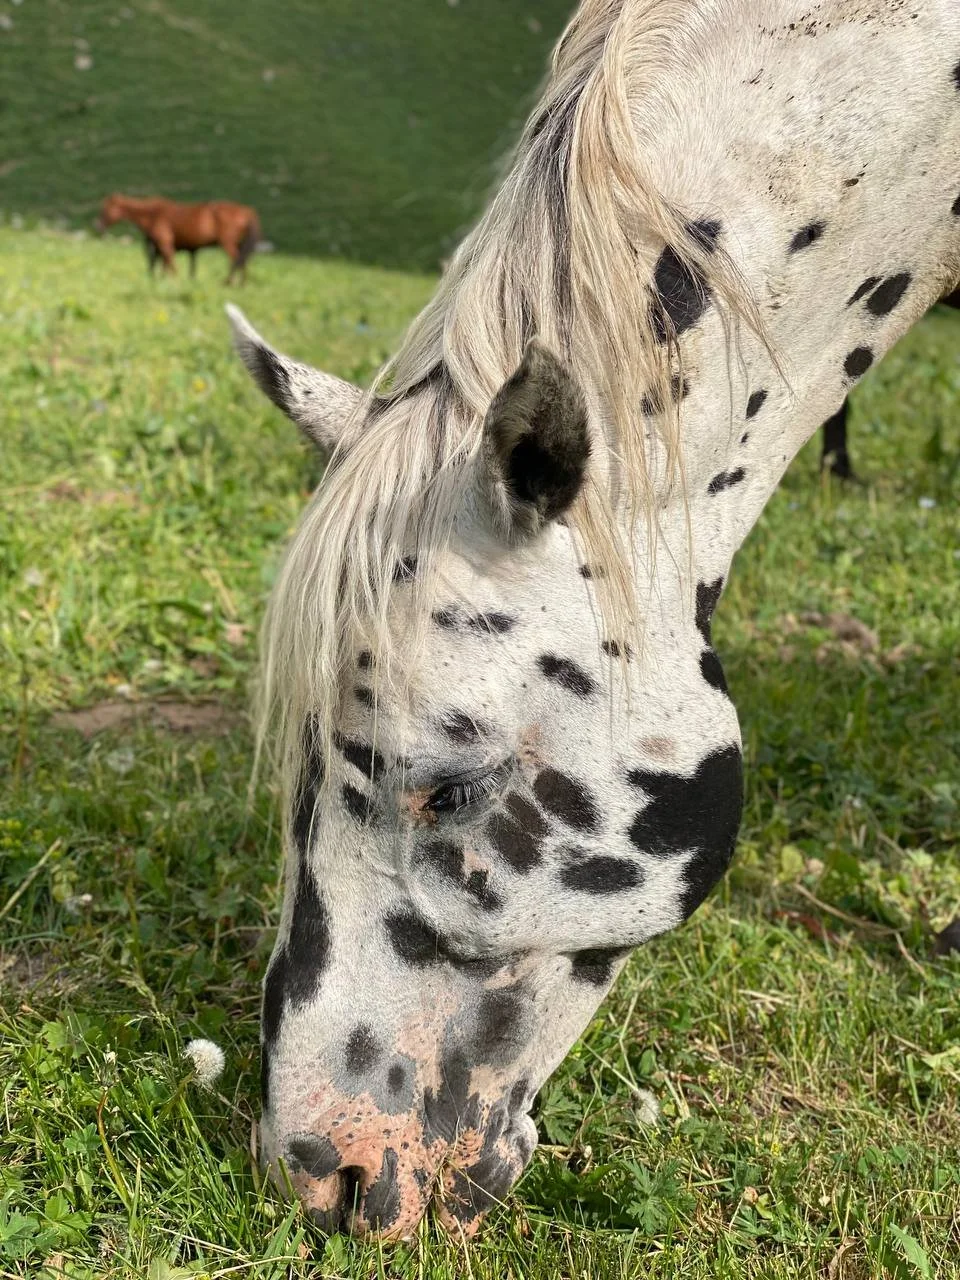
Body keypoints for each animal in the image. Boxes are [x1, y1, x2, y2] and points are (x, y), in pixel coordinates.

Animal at [95, 193, 260, 284]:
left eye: (106, 209)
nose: (97, 226)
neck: (152, 215)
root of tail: (246, 211)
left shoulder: (165, 245)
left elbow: (171, 267)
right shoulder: (159, 248)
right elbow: (163, 267)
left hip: (228, 243)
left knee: (236, 260)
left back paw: (229, 282)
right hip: (238, 243)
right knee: (242, 260)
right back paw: (241, 283)